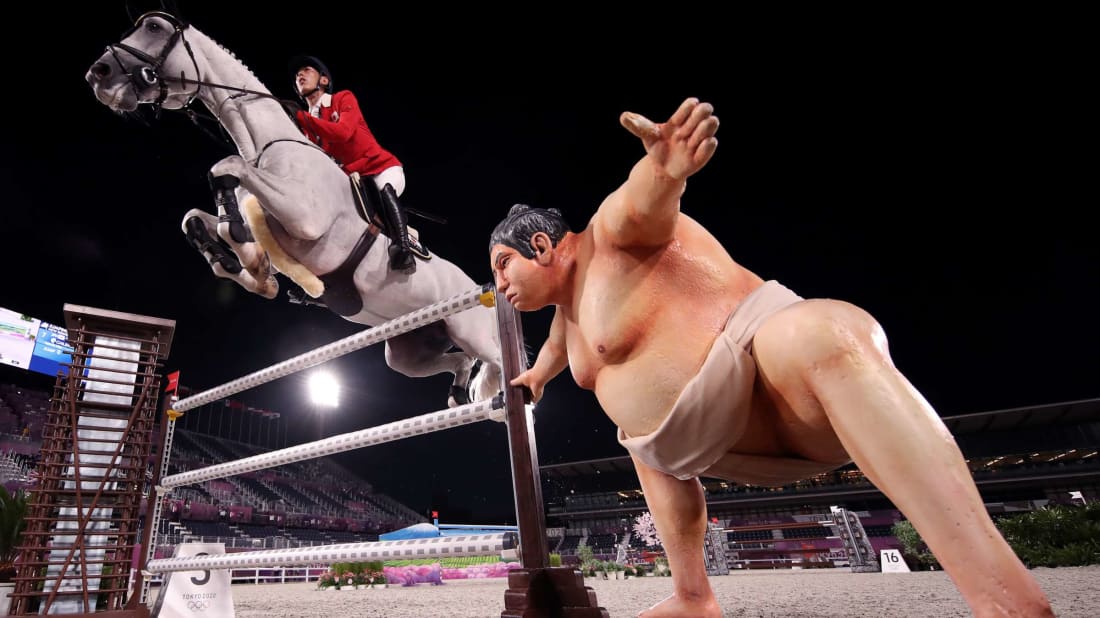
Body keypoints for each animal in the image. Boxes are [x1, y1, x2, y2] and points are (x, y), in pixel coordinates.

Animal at [85, 10, 503, 404]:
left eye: (154, 28)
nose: (98, 74)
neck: (265, 146)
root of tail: (481, 285)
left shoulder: (304, 218)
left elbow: (224, 171)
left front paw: (249, 260)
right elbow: (200, 219)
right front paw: (249, 268)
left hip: (469, 329)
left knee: (495, 360)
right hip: (411, 350)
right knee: (459, 360)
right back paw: (458, 393)